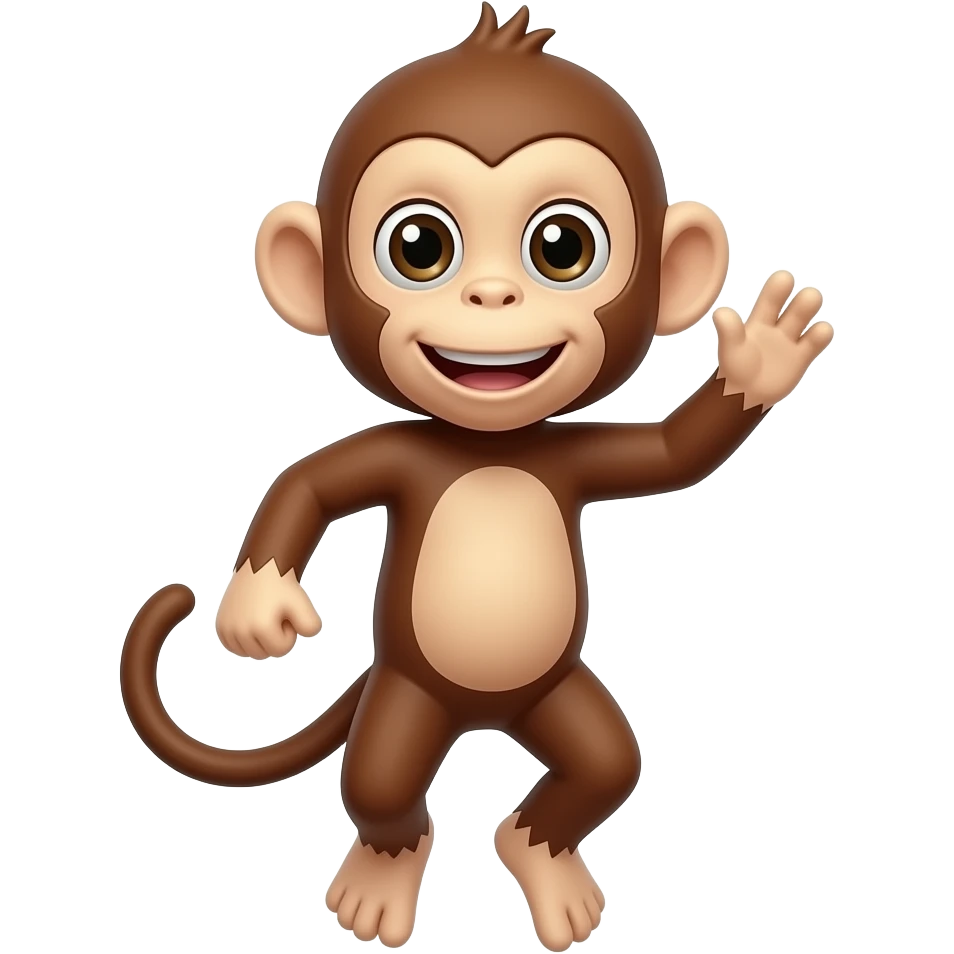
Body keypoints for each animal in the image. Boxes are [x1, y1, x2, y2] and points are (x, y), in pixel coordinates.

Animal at [119, 3, 834, 950]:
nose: (492, 296)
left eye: (563, 246)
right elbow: (308, 484)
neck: (488, 444)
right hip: (406, 695)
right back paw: (378, 886)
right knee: (383, 789)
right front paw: (258, 609)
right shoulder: (397, 452)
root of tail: (481, 716)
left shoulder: (574, 456)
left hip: (557, 696)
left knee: (604, 768)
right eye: (419, 245)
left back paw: (546, 864)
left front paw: (762, 361)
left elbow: (674, 454)